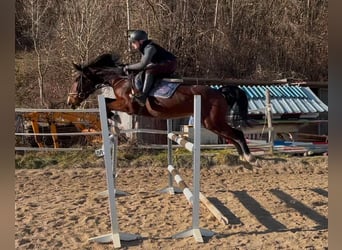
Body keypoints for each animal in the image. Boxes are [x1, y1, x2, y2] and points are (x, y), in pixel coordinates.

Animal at [66, 53, 256, 163]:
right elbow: (107, 101)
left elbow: (107, 103)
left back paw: (250, 157)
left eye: (77, 81)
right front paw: (112, 119)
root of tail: (220, 92)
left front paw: (112, 116)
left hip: (213, 121)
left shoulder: (128, 105)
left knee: (237, 133)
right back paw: (243, 157)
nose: (70, 101)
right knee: (232, 136)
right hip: (210, 123)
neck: (120, 79)